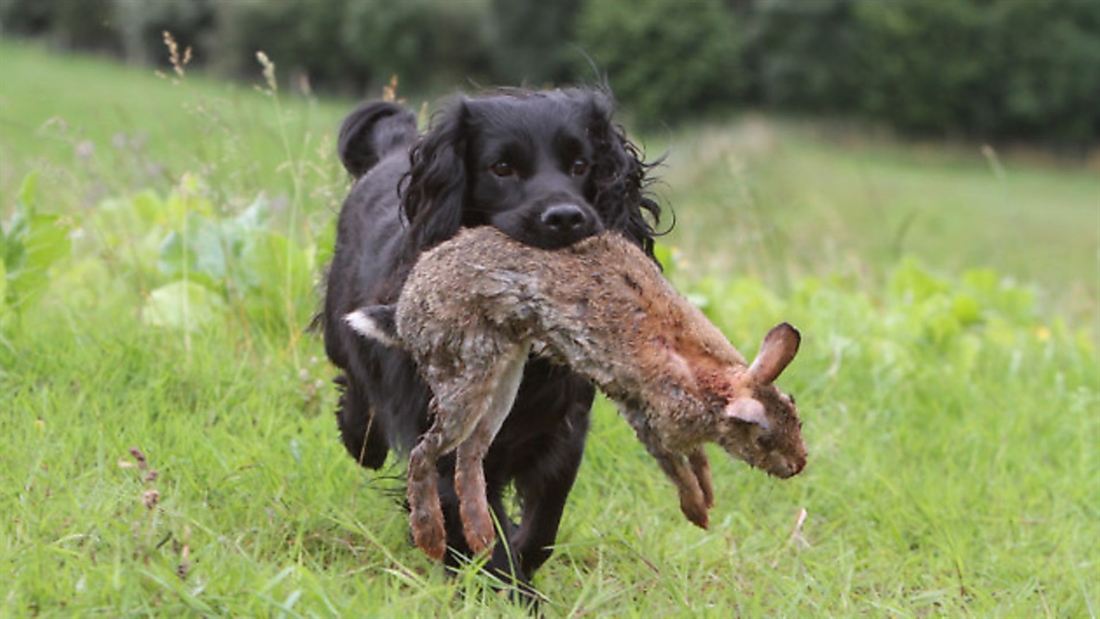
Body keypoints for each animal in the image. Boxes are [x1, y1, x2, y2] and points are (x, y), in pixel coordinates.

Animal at [321, 87, 660, 589]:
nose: (566, 217)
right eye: (501, 168)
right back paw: (360, 434)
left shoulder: (562, 432)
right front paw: (508, 590)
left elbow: (542, 525)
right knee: (358, 396)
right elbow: (483, 532)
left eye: (581, 165)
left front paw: (520, 566)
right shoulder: (443, 438)